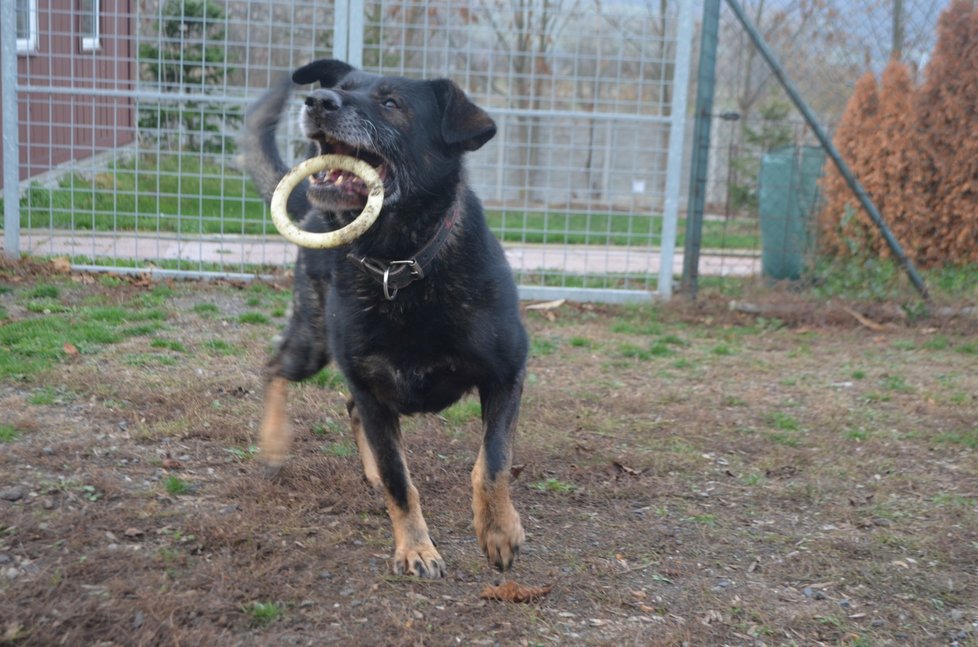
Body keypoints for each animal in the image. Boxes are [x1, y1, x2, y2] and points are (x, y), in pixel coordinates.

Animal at [236, 59, 528, 576]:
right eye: (341, 88)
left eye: (391, 103)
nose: (318, 100)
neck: (399, 262)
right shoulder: (371, 386)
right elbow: (399, 478)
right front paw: (415, 548)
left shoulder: (506, 374)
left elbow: (492, 462)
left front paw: (499, 530)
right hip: (314, 343)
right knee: (275, 369)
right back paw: (272, 446)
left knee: (345, 406)